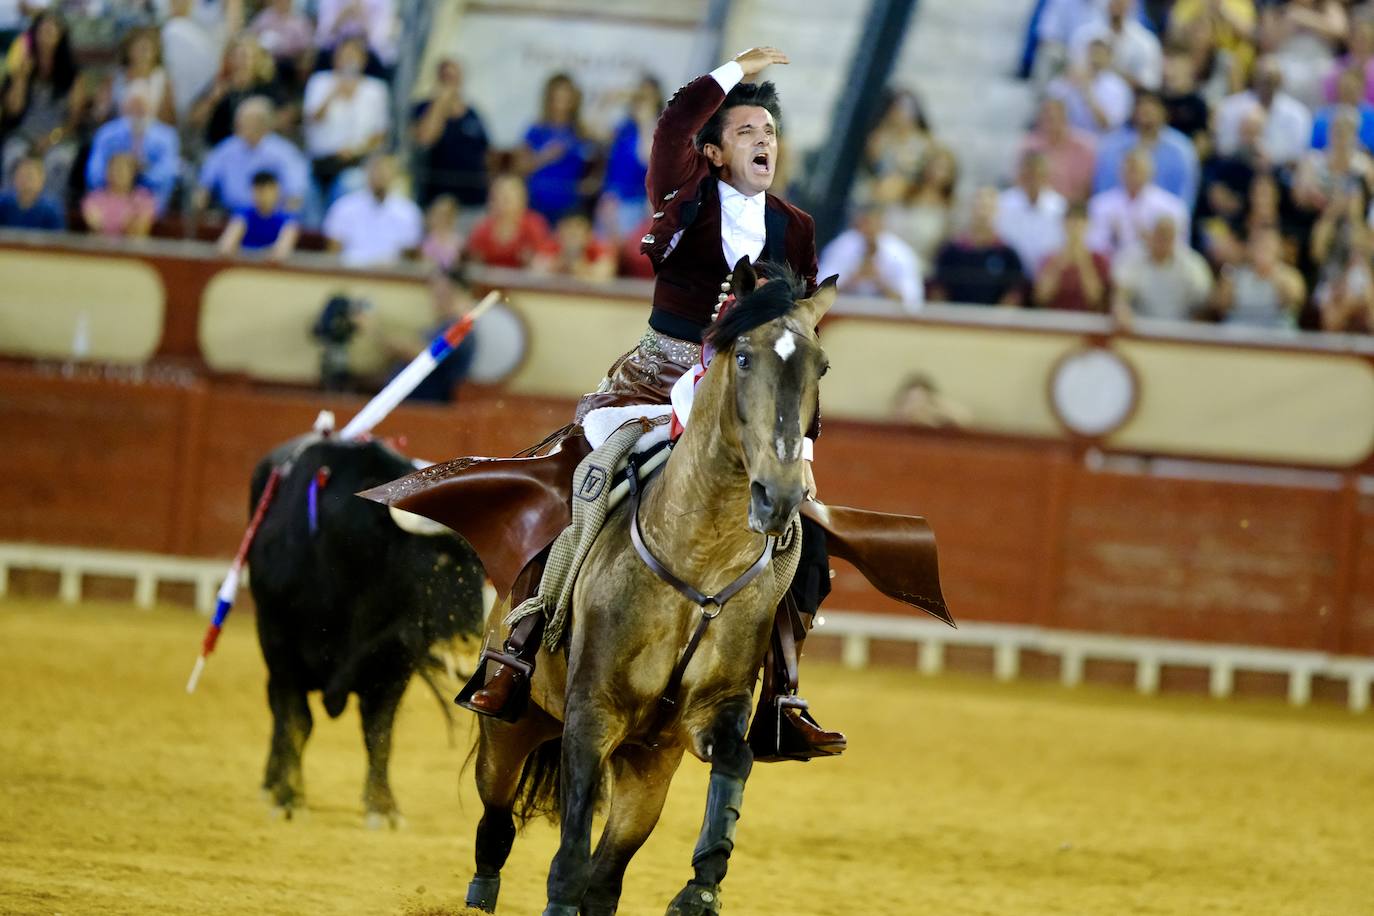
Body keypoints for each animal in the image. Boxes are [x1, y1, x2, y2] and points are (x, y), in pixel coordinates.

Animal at [247, 439, 489, 829]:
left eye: (483, 571)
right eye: (438, 560)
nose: (468, 644)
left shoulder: (392, 662)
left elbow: (379, 731)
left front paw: (383, 807)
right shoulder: (280, 647)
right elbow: (296, 721)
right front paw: (290, 799)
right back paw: (272, 783)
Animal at [464, 259, 835, 916]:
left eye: (821, 367)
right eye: (742, 357)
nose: (781, 494)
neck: (701, 561)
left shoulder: (714, 711)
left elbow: (736, 759)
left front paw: (700, 889)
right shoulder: (592, 713)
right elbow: (568, 855)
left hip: (646, 767)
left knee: (606, 875)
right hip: (510, 726)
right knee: (497, 822)